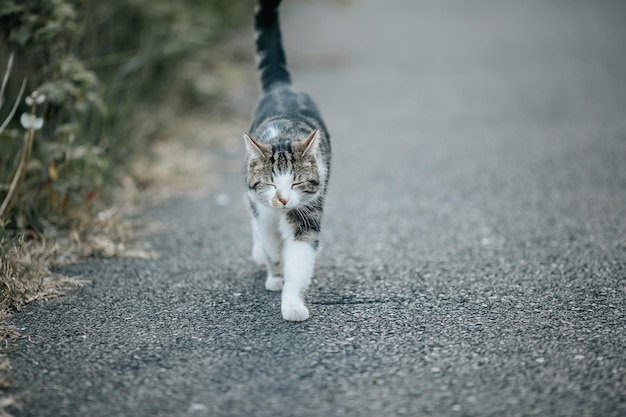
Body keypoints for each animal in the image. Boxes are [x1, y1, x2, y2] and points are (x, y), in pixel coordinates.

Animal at [244, 0, 332, 322]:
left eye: (295, 182)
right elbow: (272, 246)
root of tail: (281, 86)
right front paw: (275, 277)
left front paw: (292, 303)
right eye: (271, 183)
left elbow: (299, 258)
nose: (282, 199)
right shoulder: (262, 208)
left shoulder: (307, 211)